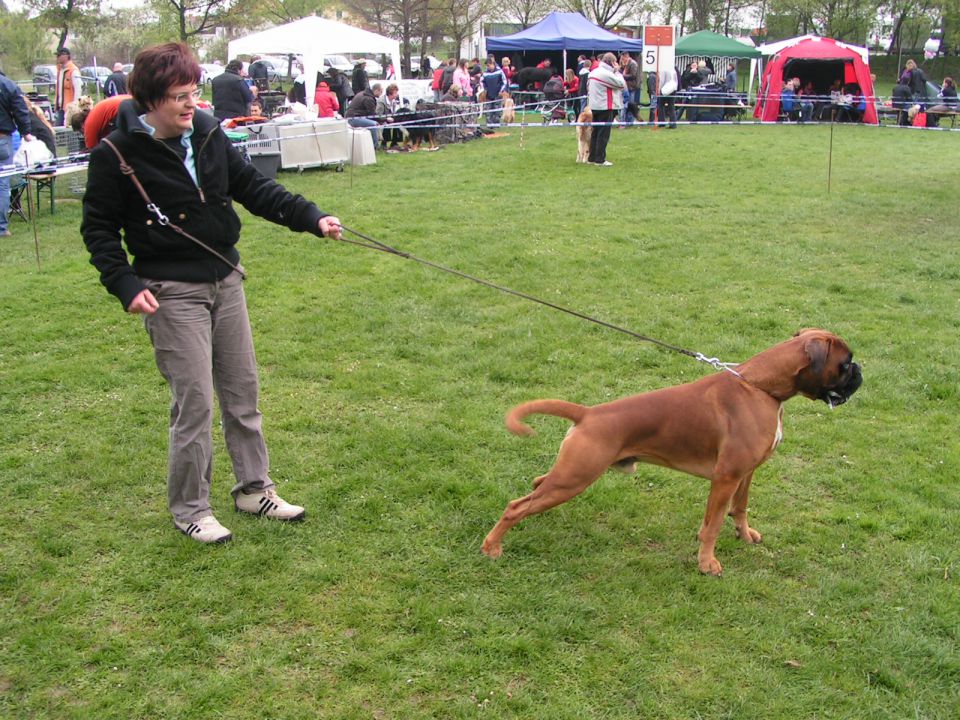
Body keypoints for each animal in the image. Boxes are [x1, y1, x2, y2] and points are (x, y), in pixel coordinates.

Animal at [480, 330, 864, 572]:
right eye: (845, 363)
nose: (860, 372)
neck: (760, 387)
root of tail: (588, 413)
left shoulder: (746, 473)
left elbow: (739, 509)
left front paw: (744, 535)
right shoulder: (725, 478)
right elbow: (712, 524)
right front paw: (707, 563)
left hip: (571, 474)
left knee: (537, 483)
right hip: (576, 477)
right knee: (515, 507)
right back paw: (492, 546)